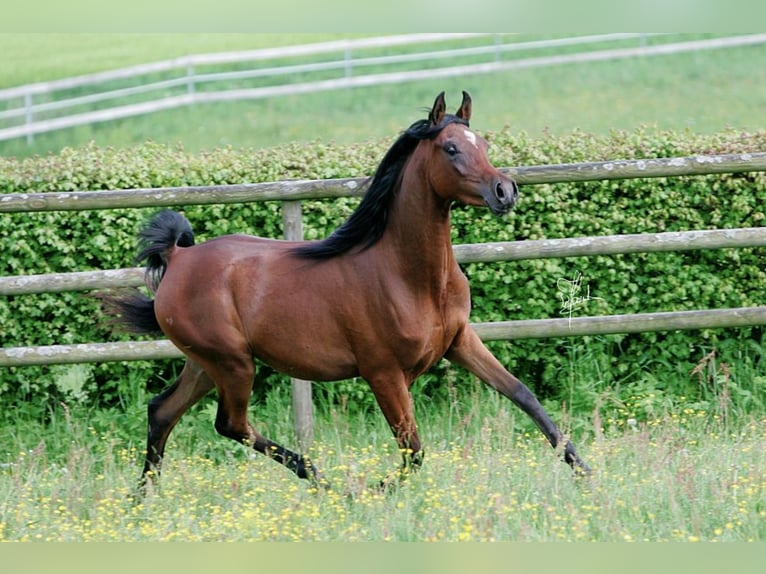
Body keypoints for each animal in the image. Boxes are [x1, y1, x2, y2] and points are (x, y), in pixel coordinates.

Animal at [105, 92, 592, 492]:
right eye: (451, 148)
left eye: (485, 145)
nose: (504, 191)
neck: (409, 276)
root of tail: (177, 259)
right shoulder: (383, 373)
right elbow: (414, 450)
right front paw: (377, 490)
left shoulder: (459, 340)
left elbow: (523, 395)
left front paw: (585, 472)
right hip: (233, 363)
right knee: (231, 423)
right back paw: (325, 480)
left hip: (206, 364)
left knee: (163, 411)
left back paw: (141, 500)